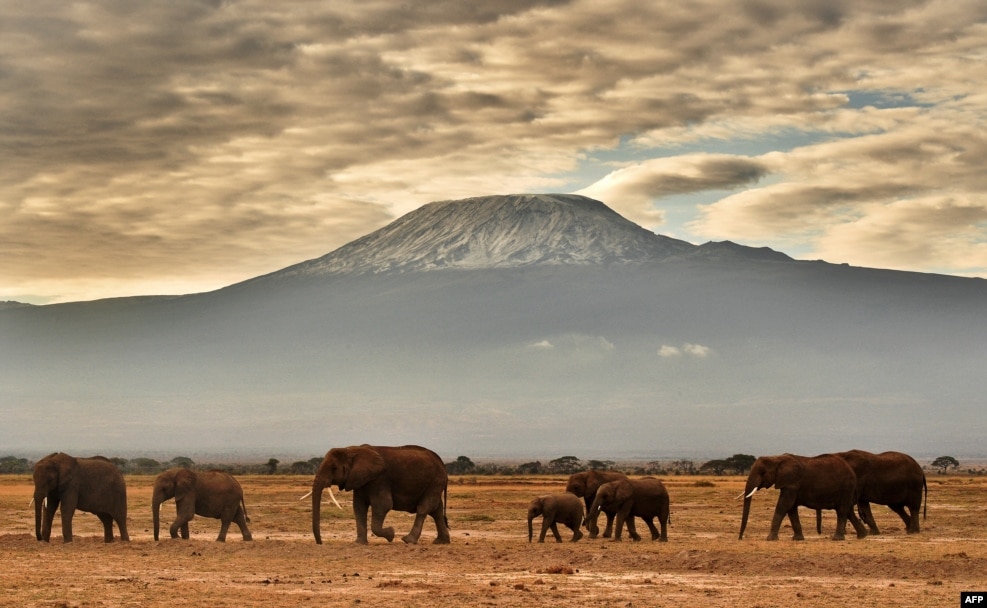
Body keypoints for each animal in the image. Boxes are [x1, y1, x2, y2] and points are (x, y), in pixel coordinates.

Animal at [308, 442, 452, 548]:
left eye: (333, 468)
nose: (320, 543)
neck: (352, 450)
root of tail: (442, 463)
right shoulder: (360, 481)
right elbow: (358, 507)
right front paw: (359, 543)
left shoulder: (379, 480)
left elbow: (382, 506)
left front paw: (391, 534)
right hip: (434, 484)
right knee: (437, 511)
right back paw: (441, 542)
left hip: (435, 482)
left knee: (423, 509)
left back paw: (408, 540)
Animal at [736, 452, 868, 540]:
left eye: (762, 473)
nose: (741, 537)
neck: (776, 458)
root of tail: (851, 471)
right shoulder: (790, 485)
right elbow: (791, 508)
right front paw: (797, 539)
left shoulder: (791, 483)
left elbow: (783, 506)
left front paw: (770, 539)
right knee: (848, 510)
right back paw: (862, 536)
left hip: (846, 486)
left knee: (842, 510)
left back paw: (837, 538)